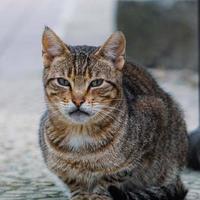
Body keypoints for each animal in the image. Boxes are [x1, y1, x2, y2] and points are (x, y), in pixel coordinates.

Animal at [39, 27, 189, 200]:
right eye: (63, 81)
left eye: (96, 82)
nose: (78, 100)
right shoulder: (64, 173)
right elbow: (75, 184)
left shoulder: (155, 115)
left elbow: (109, 179)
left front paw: (99, 194)